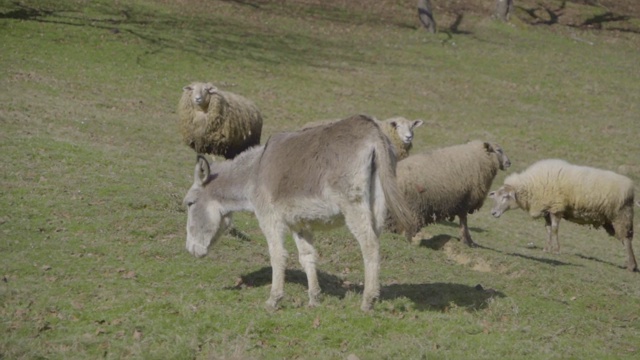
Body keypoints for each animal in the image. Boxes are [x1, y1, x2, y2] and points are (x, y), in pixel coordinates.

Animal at [490, 159, 636, 272]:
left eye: (506, 196)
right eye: (495, 196)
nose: (493, 213)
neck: (532, 185)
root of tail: (631, 188)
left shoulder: (556, 208)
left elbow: (555, 229)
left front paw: (556, 250)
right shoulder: (547, 210)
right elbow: (548, 230)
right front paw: (546, 248)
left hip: (621, 215)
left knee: (627, 239)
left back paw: (632, 266)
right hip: (611, 221)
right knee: (624, 239)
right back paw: (629, 264)